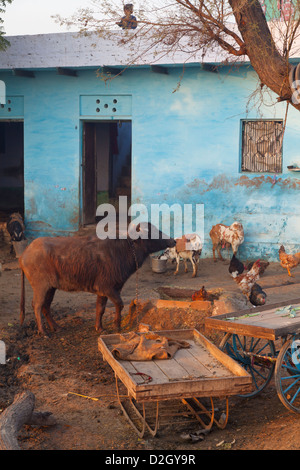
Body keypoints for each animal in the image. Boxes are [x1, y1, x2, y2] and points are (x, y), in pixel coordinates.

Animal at [19, 223, 176, 334]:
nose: (173, 241)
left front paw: (99, 328)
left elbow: (100, 308)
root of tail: (24, 254)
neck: (124, 249)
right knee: (37, 305)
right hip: (41, 286)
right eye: (153, 232)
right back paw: (43, 332)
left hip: (51, 287)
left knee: (46, 306)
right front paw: (116, 325)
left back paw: (56, 327)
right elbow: (119, 304)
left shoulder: (103, 290)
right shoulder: (108, 288)